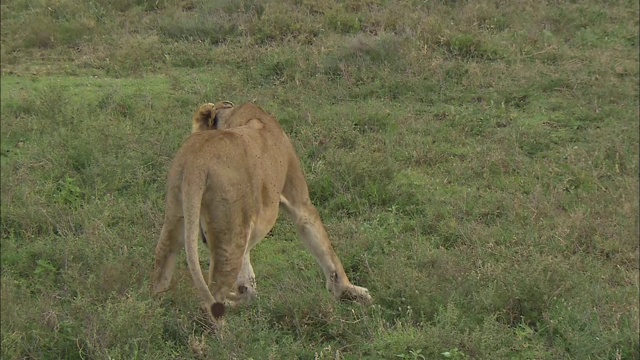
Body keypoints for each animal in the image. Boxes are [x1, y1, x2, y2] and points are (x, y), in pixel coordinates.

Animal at [154, 102, 370, 320]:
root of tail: (197, 163)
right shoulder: (299, 201)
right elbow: (323, 246)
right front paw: (349, 291)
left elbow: (247, 268)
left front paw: (246, 294)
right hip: (229, 239)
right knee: (211, 299)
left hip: (178, 216)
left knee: (162, 267)